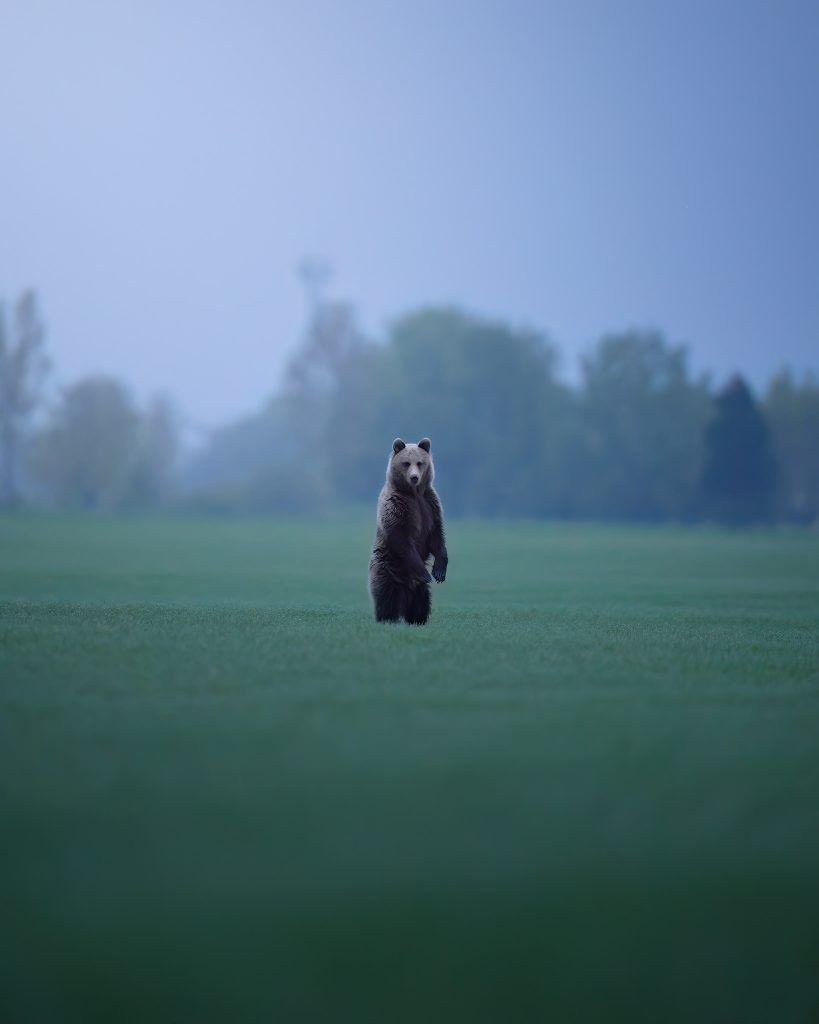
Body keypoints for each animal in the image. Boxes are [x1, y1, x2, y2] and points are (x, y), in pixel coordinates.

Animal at [368, 437, 448, 624]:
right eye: (406, 463)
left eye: (420, 463)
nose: (414, 477)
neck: (414, 493)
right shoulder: (396, 506)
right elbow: (402, 540)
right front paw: (426, 573)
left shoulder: (429, 505)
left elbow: (436, 535)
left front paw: (439, 571)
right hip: (386, 570)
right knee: (386, 599)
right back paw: (388, 619)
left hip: (419, 591)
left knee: (421, 603)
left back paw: (417, 620)